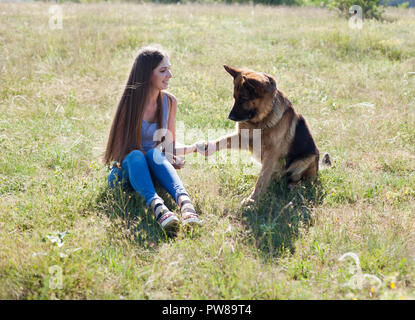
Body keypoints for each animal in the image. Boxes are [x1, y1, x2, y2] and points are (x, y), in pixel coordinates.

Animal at [198, 65, 332, 206]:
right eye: (234, 97)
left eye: (243, 99)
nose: (230, 117)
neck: (261, 120)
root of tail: (318, 170)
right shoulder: (243, 138)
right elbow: (223, 139)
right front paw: (207, 146)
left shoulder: (271, 155)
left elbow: (261, 180)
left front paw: (252, 200)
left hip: (305, 159)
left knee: (301, 181)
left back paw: (296, 186)